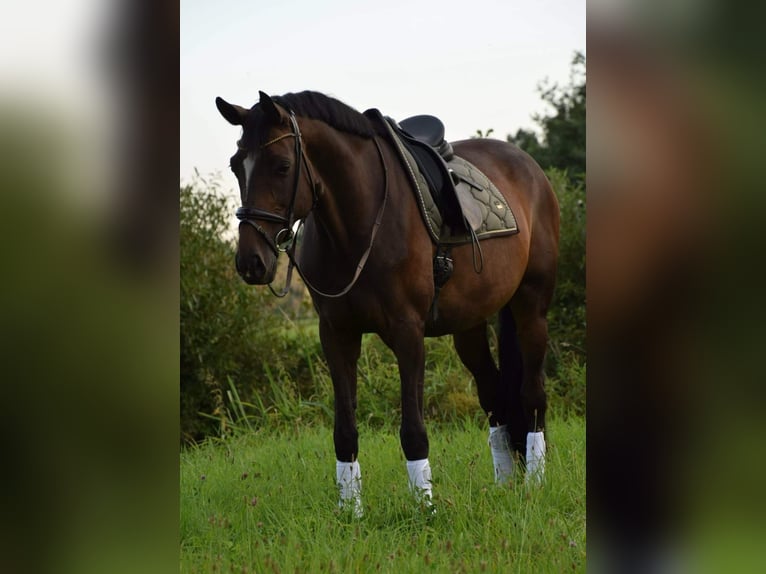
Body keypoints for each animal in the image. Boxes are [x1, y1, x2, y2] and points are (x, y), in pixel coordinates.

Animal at [215, 90, 559, 514]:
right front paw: (351, 513)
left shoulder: (407, 333)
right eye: (236, 166)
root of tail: (529, 167)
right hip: (469, 326)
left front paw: (424, 509)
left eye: (282, 167)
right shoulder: (337, 335)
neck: (357, 224)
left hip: (531, 307)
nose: (251, 262)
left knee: (533, 396)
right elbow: (344, 430)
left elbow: (412, 430)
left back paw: (535, 485)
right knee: (494, 396)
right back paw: (504, 484)